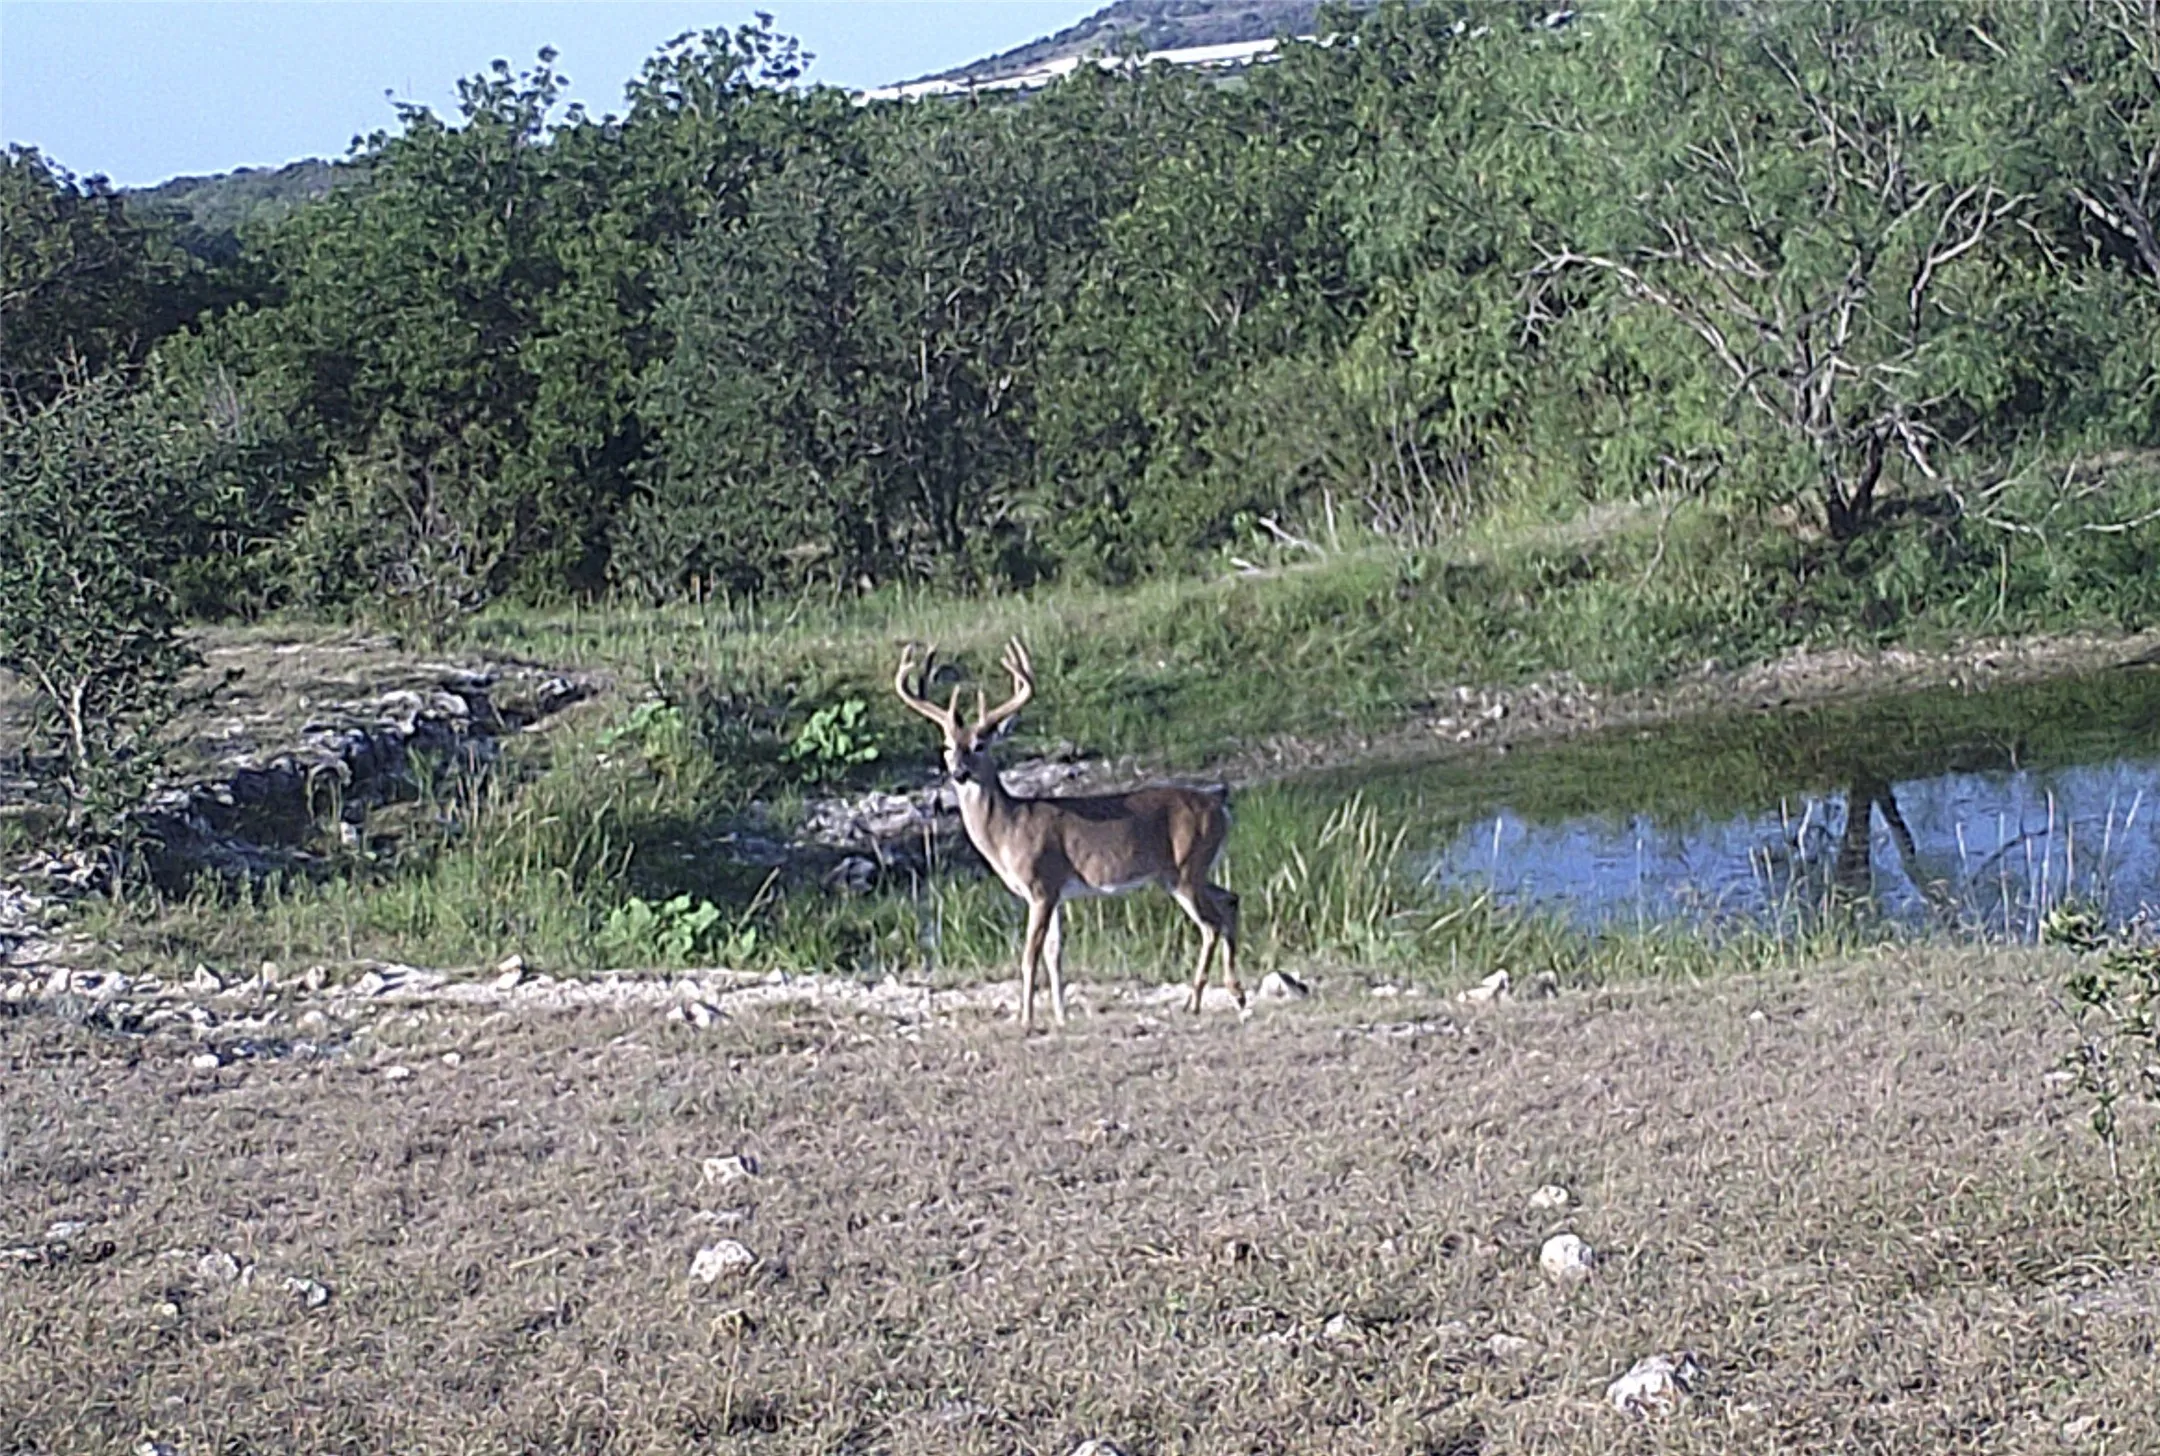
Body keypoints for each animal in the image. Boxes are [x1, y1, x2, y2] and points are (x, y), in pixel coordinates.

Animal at [894, 638, 1244, 1030]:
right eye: (947, 746)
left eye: (980, 745)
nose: (958, 772)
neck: (1007, 829)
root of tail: (1220, 805)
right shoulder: (1058, 892)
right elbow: (1055, 954)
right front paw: (1061, 1016)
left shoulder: (1041, 885)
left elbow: (1030, 955)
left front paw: (1026, 1019)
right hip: (1193, 870)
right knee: (1231, 899)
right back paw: (1237, 994)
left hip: (1184, 869)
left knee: (1211, 924)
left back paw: (1193, 1002)